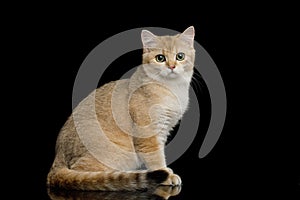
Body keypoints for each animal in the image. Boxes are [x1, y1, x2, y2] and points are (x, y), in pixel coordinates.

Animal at [46, 26, 197, 191]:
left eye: (180, 56)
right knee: (85, 173)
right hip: (118, 154)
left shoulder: (163, 129)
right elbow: (155, 157)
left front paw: (166, 170)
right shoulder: (148, 133)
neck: (171, 89)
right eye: (160, 58)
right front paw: (166, 174)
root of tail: (58, 157)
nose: (172, 66)